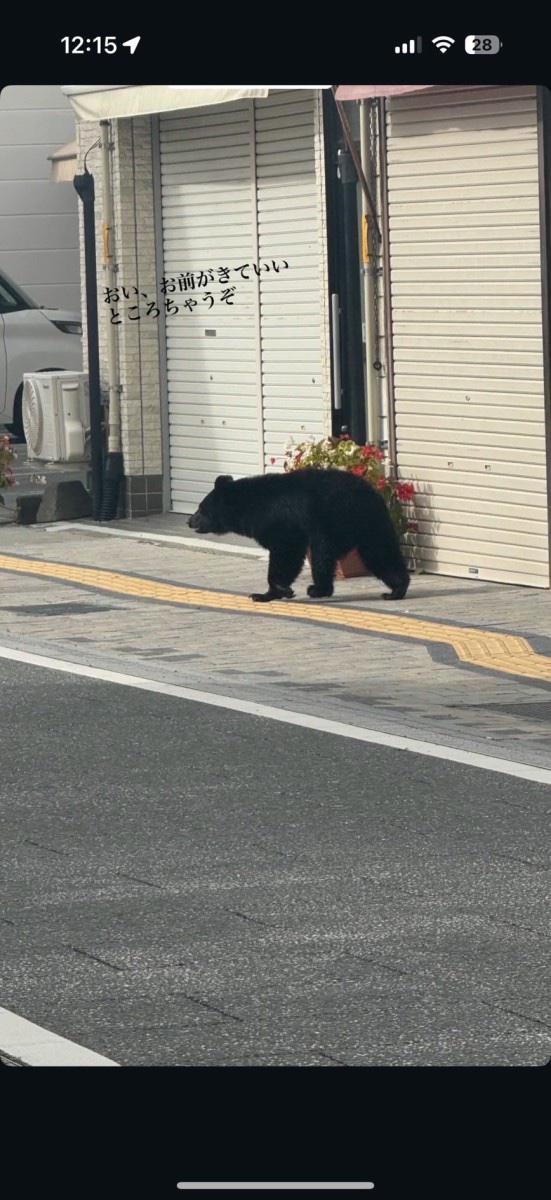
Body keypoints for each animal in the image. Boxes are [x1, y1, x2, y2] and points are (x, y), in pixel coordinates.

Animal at [187, 467, 410, 603]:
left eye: (201, 508)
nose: (189, 521)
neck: (248, 508)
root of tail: (367, 493)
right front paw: (271, 592)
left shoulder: (278, 521)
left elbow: (286, 552)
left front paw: (273, 591)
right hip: (370, 522)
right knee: (379, 551)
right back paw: (397, 589)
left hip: (332, 522)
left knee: (323, 554)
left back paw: (318, 589)